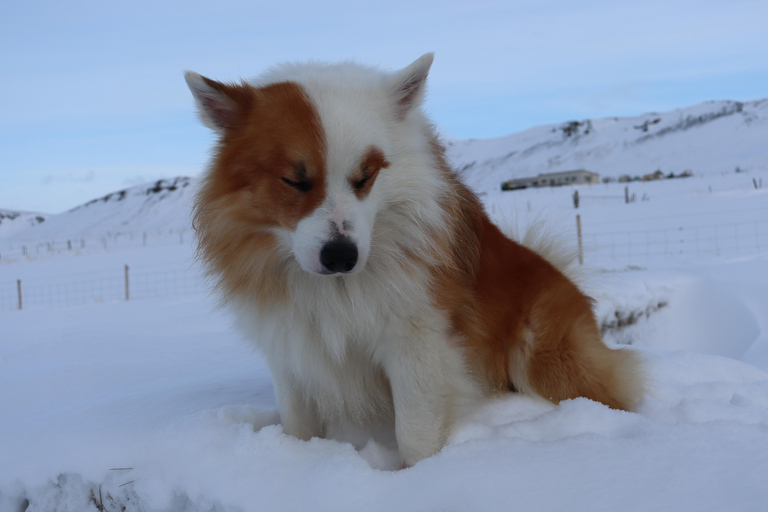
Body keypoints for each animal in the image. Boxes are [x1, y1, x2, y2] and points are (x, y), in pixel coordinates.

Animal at [184, 54, 640, 466]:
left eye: (365, 176)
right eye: (295, 181)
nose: (341, 256)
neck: (338, 289)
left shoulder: (416, 347)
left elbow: (416, 434)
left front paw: (417, 481)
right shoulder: (291, 351)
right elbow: (299, 425)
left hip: (545, 359)